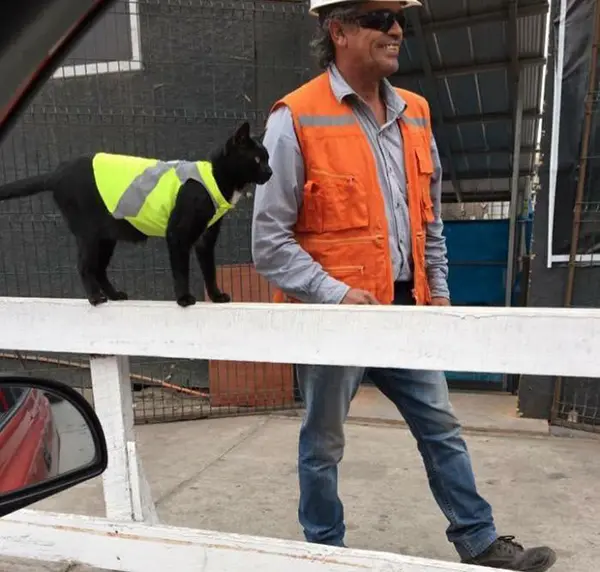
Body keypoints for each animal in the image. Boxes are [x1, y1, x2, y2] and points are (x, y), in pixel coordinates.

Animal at [0, 122, 270, 306]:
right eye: (257, 159)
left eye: (267, 158)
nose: (270, 172)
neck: (213, 178)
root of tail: (57, 172)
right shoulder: (177, 235)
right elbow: (181, 270)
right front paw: (184, 298)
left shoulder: (206, 239)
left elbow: (210, 271)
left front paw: (216, 296)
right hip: (89, 234)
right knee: (85, 266)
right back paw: (95, 298)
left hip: (106, 237)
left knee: (99, 268)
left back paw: (114, 295)